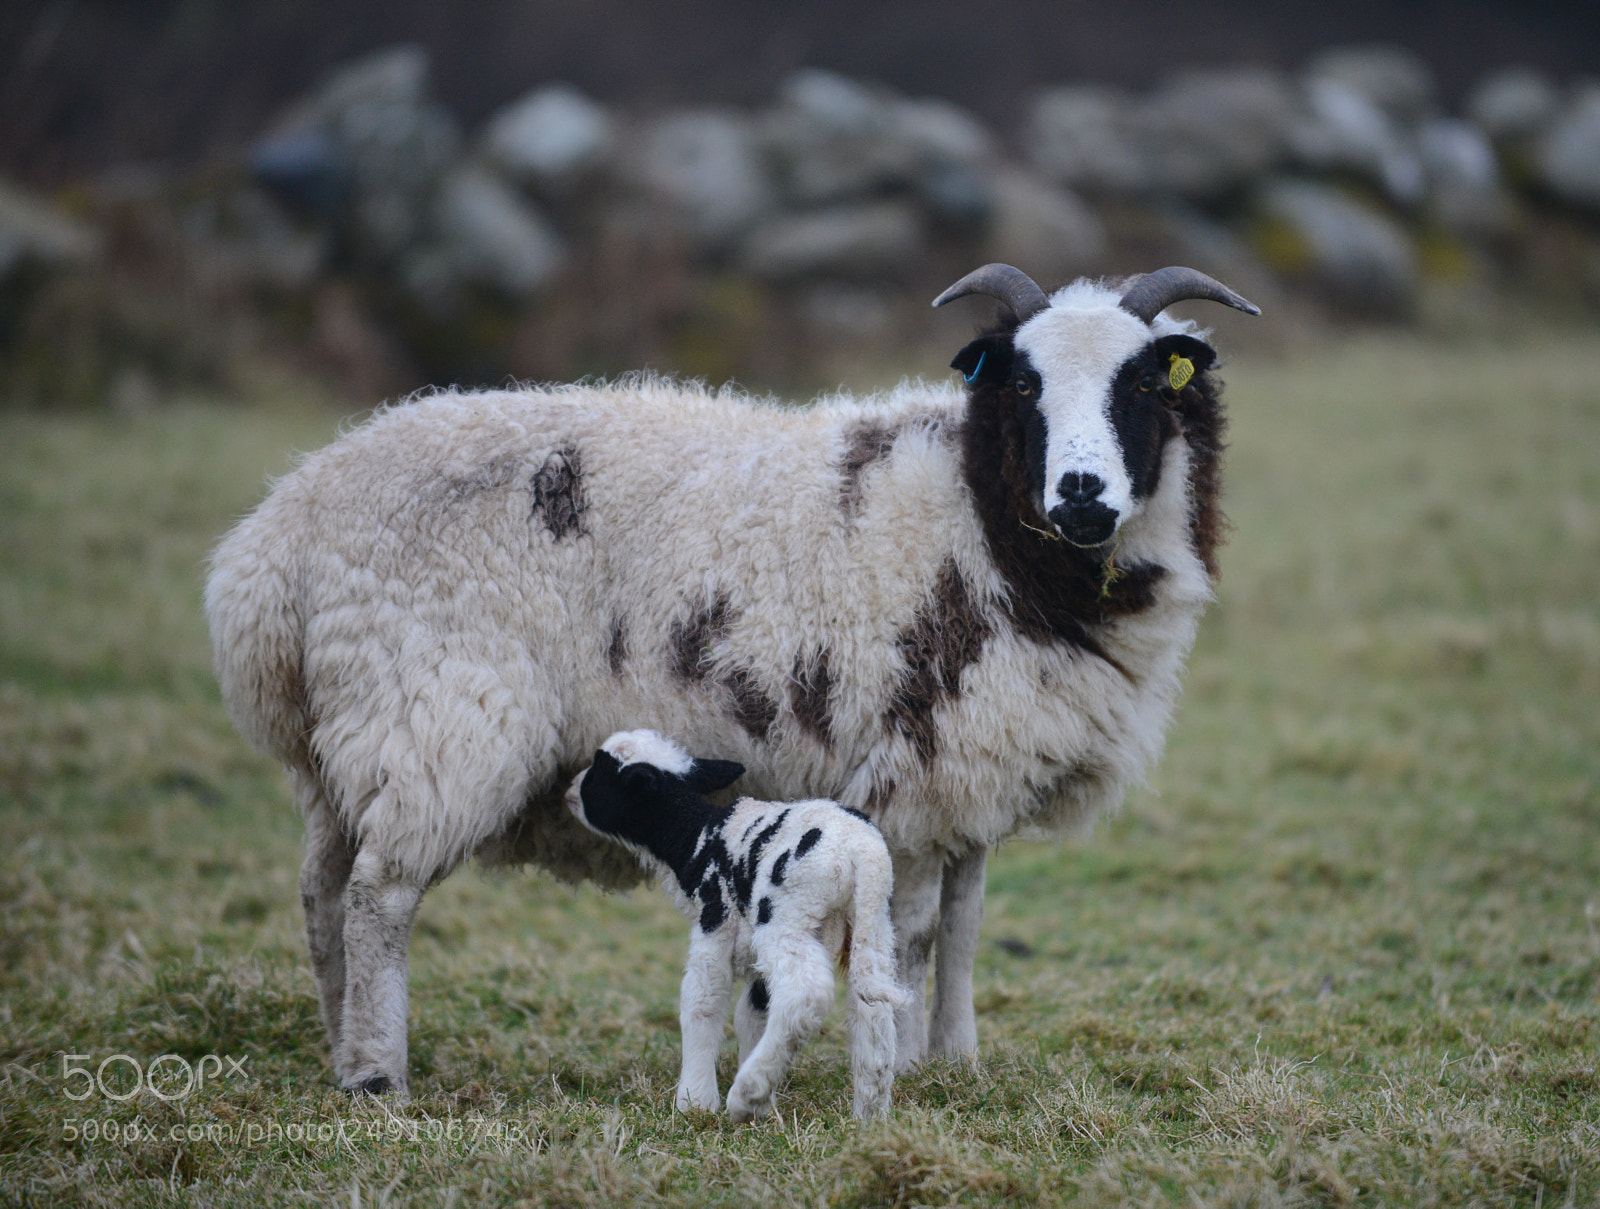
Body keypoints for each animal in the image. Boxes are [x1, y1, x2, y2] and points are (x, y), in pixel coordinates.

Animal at [567, 728, 904, 1120]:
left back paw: (747, 1093)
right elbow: (751, 1016)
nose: (570, 788)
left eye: (600, 770)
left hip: (787, 917)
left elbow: (701, 1003)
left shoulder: (714, 923)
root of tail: (862, 851)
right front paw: (763, 1106)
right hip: (872, 924)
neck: (696, 837)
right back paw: (870, 1113)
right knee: (873, 1008)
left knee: (805, 992)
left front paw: (696, 1101)